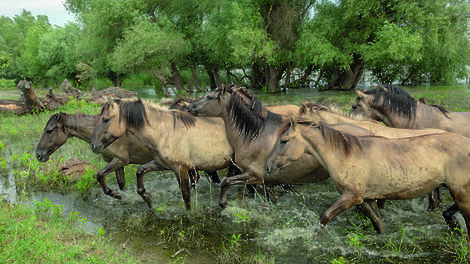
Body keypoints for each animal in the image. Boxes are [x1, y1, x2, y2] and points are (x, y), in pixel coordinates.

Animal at [187, 84, 386, 233]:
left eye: (209, 97)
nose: (190, 107)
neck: (254, 134)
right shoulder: (268, 182)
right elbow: (272, 202)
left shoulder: (254, 175)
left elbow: (226, 182)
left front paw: (224, 204)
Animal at [266, 118, 470, 234]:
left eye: (284, 140)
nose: (267, 166)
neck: (345, 155)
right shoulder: (367, 199)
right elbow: (378, 223)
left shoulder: (352, 197)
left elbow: (324, 217)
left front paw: (315, 239)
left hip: (460, 191)